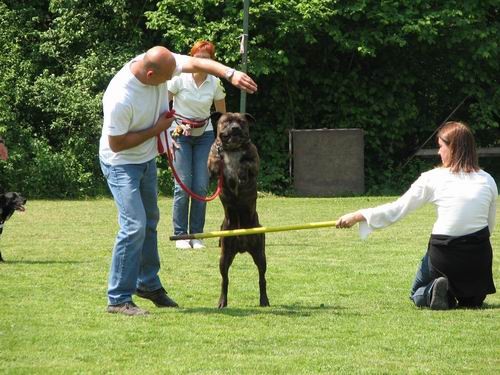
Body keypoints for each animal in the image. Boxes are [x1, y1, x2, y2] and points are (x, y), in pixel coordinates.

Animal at [207, 113, 270, 310]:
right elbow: (214, 162)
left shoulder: (254, 162)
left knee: (262, 278)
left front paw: (241, 172)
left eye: (241, 122)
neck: (233, 150)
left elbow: (247, 164)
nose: (235, 128)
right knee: (224, 280)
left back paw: (264, 300)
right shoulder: (211, 166)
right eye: (226, 121)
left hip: (260, 254)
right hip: (224, 256)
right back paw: (222, 301)